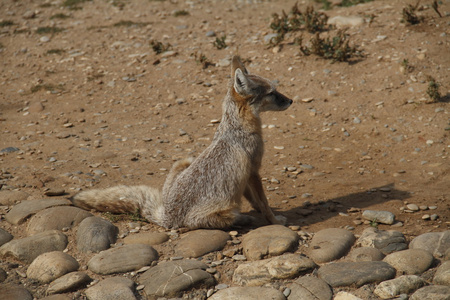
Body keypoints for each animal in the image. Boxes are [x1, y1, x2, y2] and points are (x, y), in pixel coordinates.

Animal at [71, 56, 292, 230]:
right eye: (272, 93)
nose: (291, 101)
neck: (234, 129)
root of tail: (167, 216)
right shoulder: (253, 171)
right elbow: (264, 203)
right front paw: (274, 220)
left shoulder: (244, 175)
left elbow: (256, 201)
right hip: (226, 212)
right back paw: (246, 220)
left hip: (184, 160)